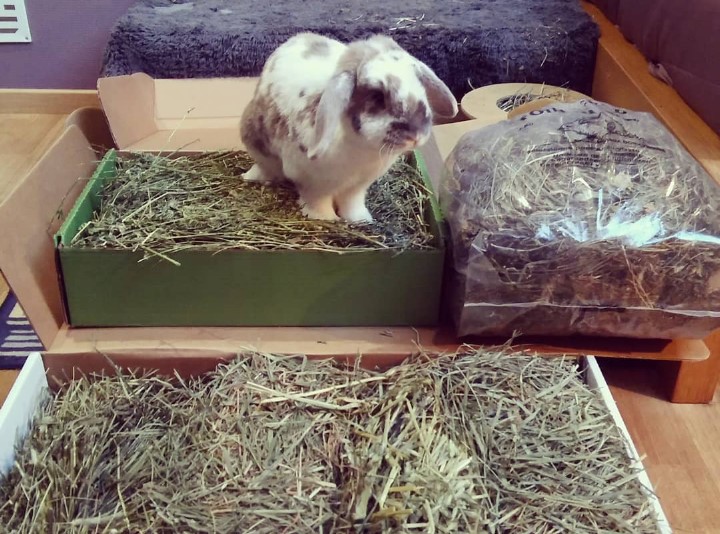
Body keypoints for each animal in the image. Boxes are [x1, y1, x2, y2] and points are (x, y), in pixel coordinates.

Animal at [240, 32, 458, 223]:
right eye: (377, 96)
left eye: (418, 84)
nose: (416, 136)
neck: (361, 149)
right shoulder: (312, 182)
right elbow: (317, 201)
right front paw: (325, 219)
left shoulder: (357, 186)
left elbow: (351, 203)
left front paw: (360, 220)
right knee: (267, 167)